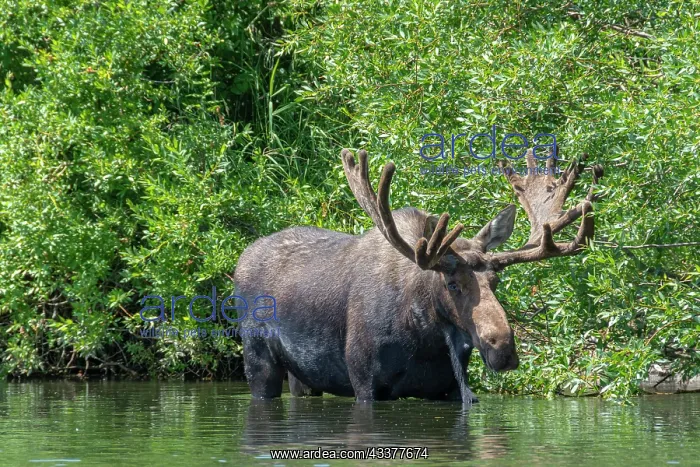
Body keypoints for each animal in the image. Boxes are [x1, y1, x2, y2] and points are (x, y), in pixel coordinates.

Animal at [233, 148, 602, 403]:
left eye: (495, 282)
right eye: (452, 284)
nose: (504, 349)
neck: (424, 336)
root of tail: (241, 260)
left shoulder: (449, 389)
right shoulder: (364, 381)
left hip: (303, 377)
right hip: (258, 360)